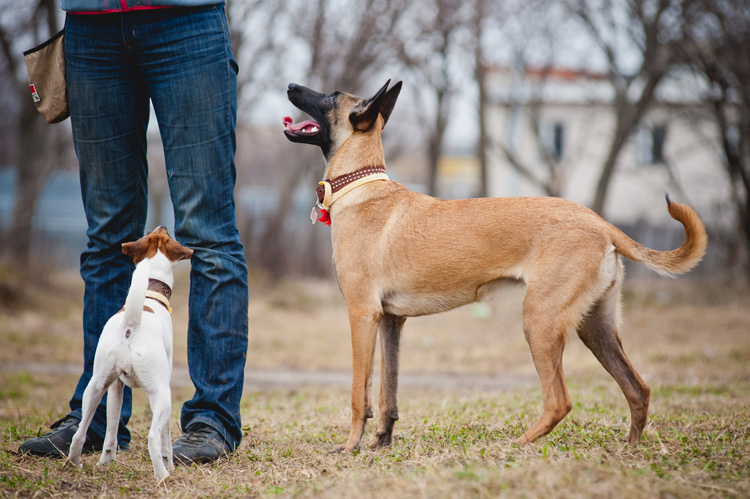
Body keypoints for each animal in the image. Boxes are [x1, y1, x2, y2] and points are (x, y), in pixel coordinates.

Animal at [67, 228, 194, 484]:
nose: (162, 225)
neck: (149, 295)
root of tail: (132, 326)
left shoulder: (116, 387)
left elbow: (111, 433)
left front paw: (106, 462)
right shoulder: (164, 389)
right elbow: (166, 440)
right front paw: (170, 464)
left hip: (95, 388)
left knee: (80, 433)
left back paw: (75, 464)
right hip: (161, 395)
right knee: (154, 437)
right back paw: (163, 476)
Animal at [284, 79, 712, 454]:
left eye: (331, 95)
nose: (290, 87)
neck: (360, 184)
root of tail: (601, 223)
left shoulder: (362, 315)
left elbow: (360, 394)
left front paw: (350, 447)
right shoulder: (391, 321)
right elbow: (388, 394)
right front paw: (381, 444)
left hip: (540, 322)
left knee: (559, 401)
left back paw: (517, 444)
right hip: (596, 329)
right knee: (638, 389)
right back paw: (630, 449)